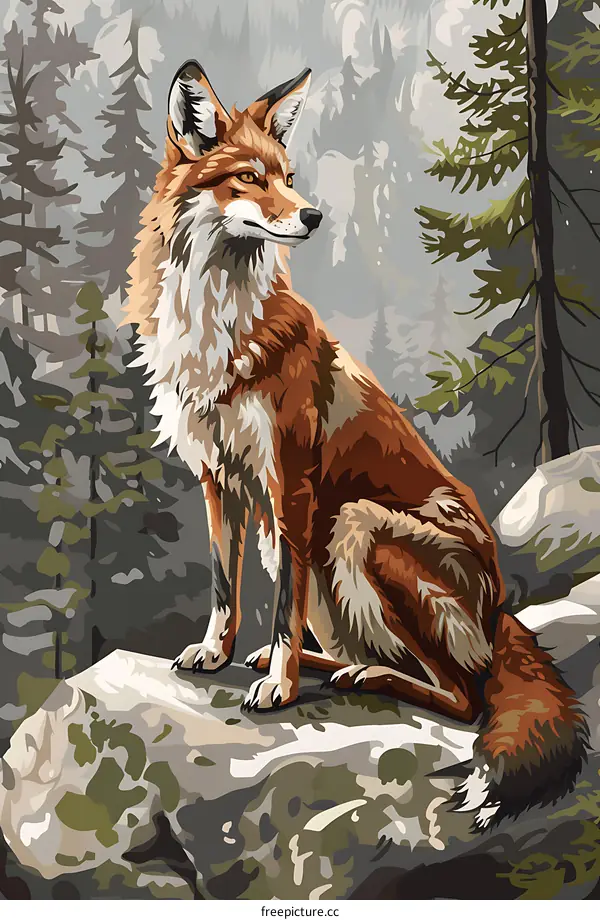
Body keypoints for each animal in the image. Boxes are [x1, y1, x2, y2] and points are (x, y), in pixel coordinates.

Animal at [124, 61, 588, 830]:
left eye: (288, 175)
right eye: (249, 178)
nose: (312, 215)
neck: (216, 325)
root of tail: (500, 608)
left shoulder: (288, 481)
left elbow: (280, 611)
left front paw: (279, 689)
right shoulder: (219, 480)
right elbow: (226, 588)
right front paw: (218, 653)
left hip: (353, 526)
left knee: (464, 692)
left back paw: (364, 675)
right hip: (311, 549)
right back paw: (312, 664)